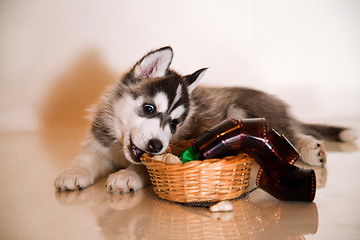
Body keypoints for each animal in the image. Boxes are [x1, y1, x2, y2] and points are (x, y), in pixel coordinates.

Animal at [54, 46, 358, 193]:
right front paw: (72, 174)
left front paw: (126, 176)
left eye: (174, 124)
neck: (119, 147)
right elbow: (85, 160)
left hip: (250, 114)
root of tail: (279, 104)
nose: (156, 146)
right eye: (149, 108)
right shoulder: (97, 145)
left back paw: (313, 150)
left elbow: (143, 168)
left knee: (291, 135)